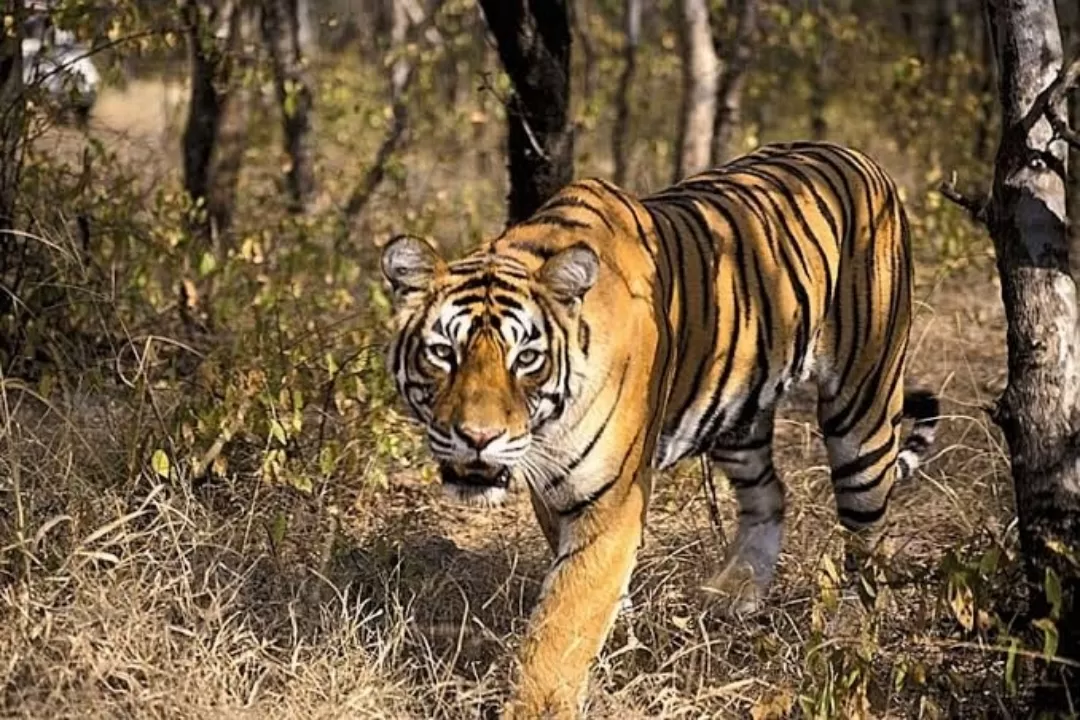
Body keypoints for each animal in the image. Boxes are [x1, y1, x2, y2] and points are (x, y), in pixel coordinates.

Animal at [380, 139, 937, 716]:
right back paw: (735, 595)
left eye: (526, 358)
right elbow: (588, 592)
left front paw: (541, 702)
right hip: (736, 416)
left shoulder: (611, 501)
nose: (478, 438)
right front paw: (620, 637)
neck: (548, 428)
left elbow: (564, 618)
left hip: (863, 411)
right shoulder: (555, 492)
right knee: (769, 495)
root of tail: (860, 157)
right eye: (444, 353)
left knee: (868, 539)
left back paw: (849, 637)